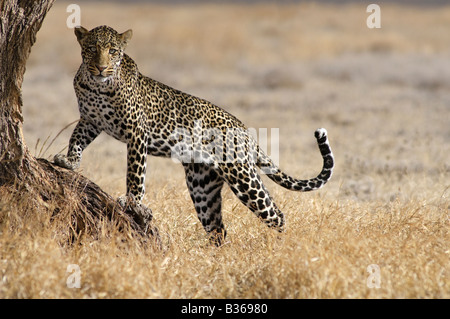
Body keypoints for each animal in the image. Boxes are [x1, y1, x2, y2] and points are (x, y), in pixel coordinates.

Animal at [53, 25, 334, 245]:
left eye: (113, 51)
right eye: (92, 48)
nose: (101, 68)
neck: (97, 87)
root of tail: (245, 132)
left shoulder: (136, 133)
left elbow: (135, 172)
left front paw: (131, 200)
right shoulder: (90, 121)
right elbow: (76, 139)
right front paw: (69, 161)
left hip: (242, 175)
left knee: (275, 213)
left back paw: (284, 247)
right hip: (203, 187)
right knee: (218, 228)